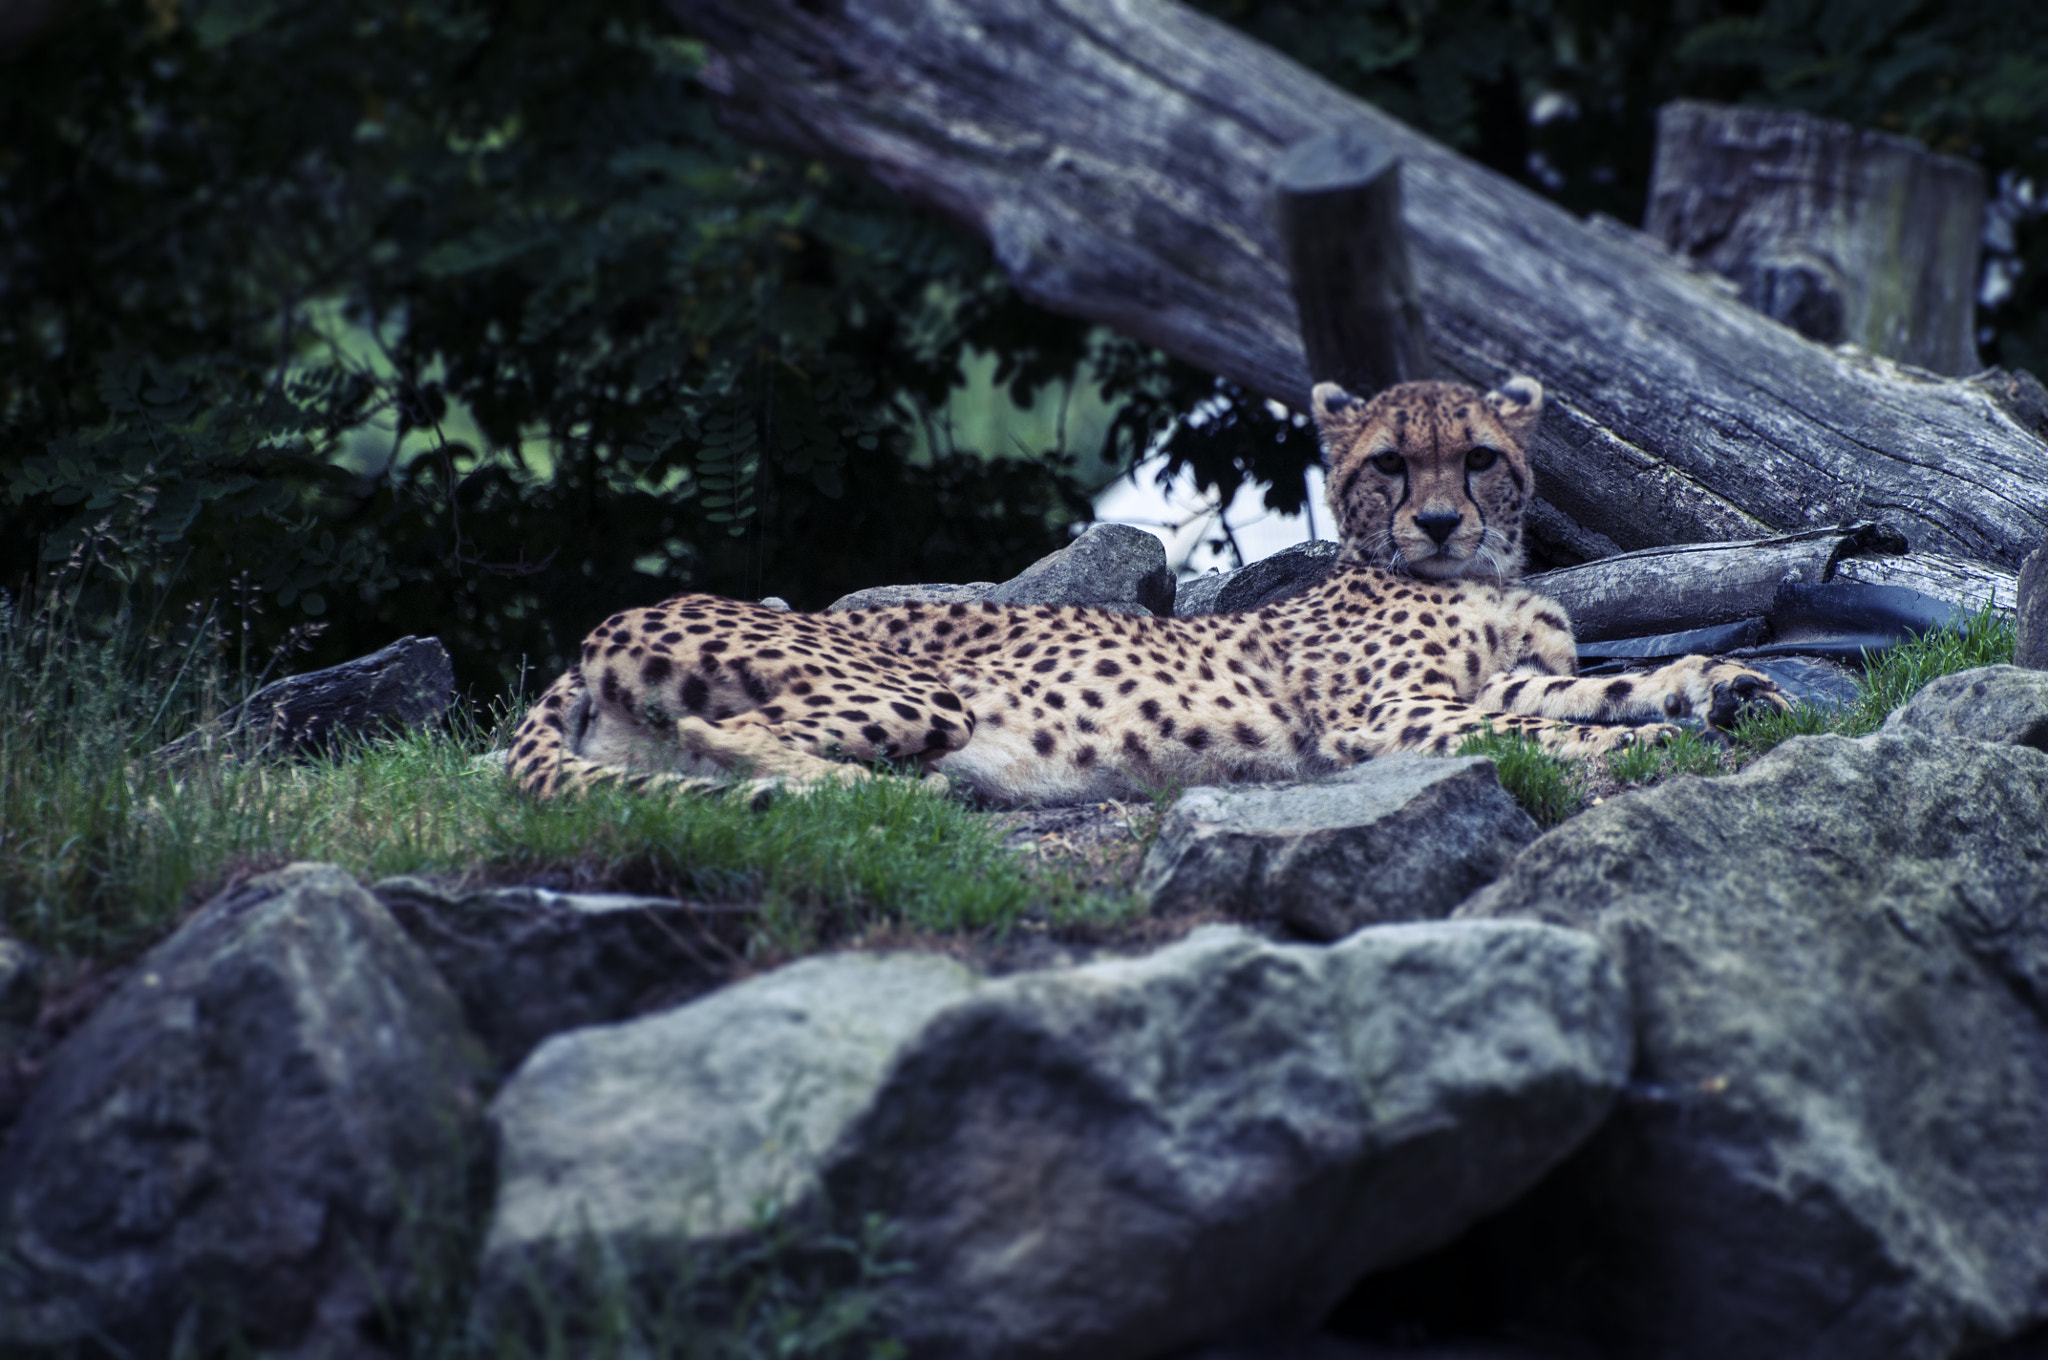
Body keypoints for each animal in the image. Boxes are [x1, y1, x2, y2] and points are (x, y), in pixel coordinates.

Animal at [506, 374, 1786, 807]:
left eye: (1475, 457)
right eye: (1387, 464)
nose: (1434, 520)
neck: (1478, 573)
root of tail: (590, 636)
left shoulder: (1511, 676)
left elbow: (1598, 685)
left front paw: (1722, 685)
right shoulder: (1388, 718)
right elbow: (1529, 733)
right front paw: (1638, 746)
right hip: (918, 694)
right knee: (733, 745)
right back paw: (878, 797)